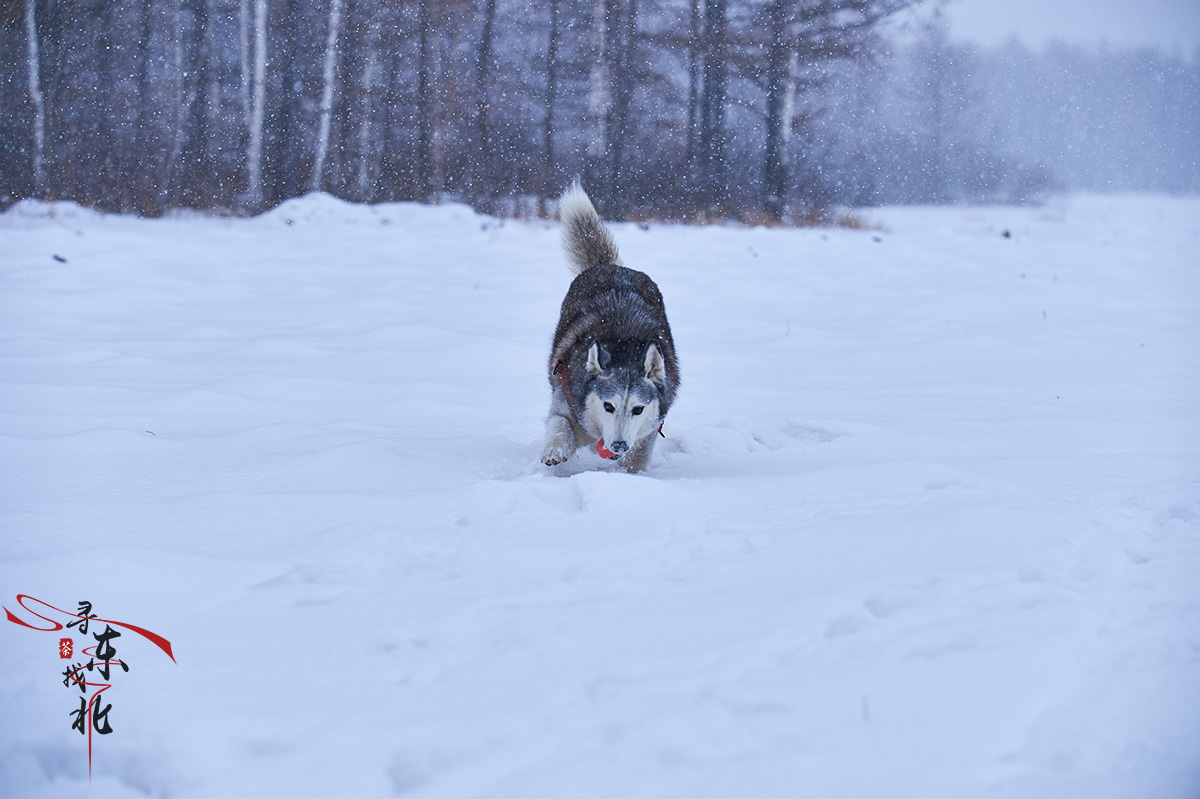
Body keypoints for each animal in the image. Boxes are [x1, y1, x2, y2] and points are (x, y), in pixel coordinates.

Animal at [542, 182, 681, 470]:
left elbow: (636, 459)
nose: (618, 445)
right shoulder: (567, 401)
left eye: (638, 409)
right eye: (608, 406)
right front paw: (555, 450)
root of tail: (610, 266)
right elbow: (560, 423)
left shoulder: (649, 429)